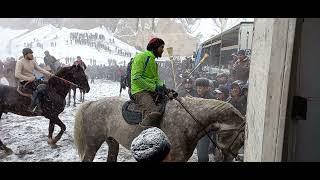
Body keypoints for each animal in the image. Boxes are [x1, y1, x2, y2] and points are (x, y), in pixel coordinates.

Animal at [74, 96, 245, 162]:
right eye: (242, 139)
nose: (229, 159)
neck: (187, 120)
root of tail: (93, 103)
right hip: (92, 144)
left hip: (112, 142)